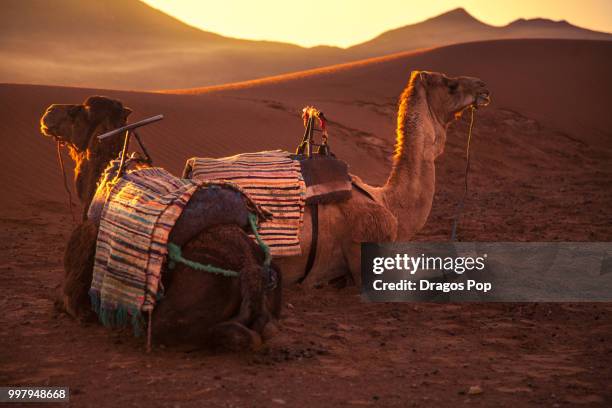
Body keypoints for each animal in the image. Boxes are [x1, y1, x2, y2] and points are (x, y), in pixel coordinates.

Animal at [39, 96, 284, 350]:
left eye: (78, 111)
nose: (49, 112)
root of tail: (251, 272)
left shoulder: (74, 292)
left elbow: (63, 300)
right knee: (267, 328)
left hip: (177, 311)